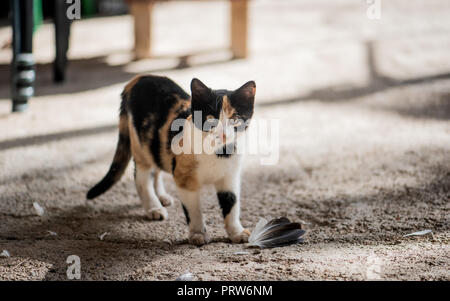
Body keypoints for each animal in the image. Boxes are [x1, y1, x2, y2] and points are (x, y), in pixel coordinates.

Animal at [87, 74, 256, 244]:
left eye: (235, 119)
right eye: (210, 119)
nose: (223, 135)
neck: (219, 153)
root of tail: (139, 77)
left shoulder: (230, 177)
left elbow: (232, 204)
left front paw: (236, 232)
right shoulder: (184, 178)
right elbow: (193, 209)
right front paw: (198, 234)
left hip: (155, 146)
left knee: (157, 168)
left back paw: (162, 197)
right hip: (141, 145)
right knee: (142, 177)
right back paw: (154, 207)